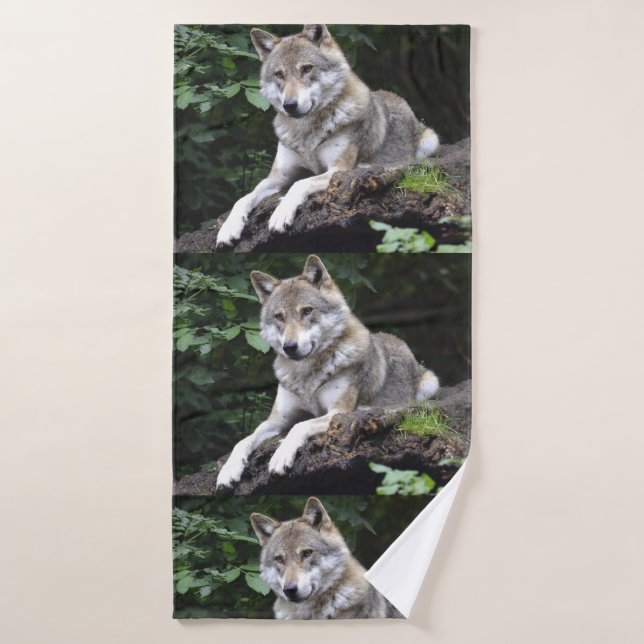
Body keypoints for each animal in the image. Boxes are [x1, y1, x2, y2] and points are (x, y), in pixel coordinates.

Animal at [215, 24, 439, 246]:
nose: (290, 105)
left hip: (430, 141)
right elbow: (244, 198)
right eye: (279, 74)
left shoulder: (337, 169)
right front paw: (228, 228)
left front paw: (281, 213)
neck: (306, 133)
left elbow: (300, 183)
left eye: (307, 69)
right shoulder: (278, 176)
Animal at [215, 255, 439, 488]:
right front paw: (228, 470)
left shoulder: (337, 411)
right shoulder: (277, 419)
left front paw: (280, 455)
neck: (306, 375)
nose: (289, 347)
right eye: (279, 317)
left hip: (430, 383)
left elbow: (299, 426)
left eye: (306, 311)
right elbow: (244, 440)